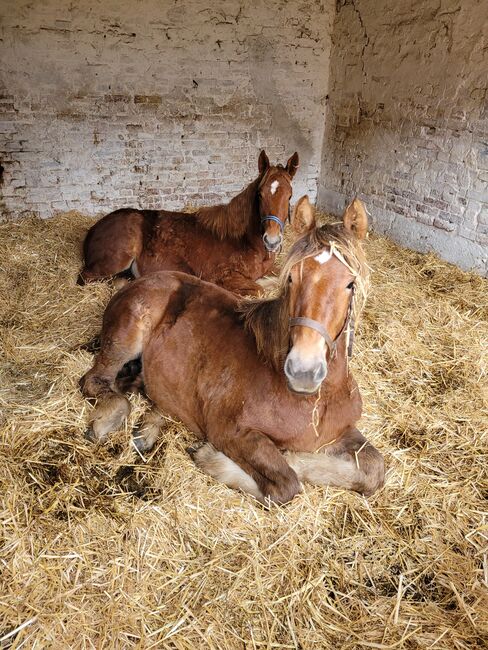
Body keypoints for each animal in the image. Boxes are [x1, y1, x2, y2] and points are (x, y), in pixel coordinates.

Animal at [77, 149, 298, 294]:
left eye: (289, 195)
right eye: (260, 195)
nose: (272, 240)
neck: (245, 241)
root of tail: (94, 229)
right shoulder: (226, 277)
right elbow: (260, 289)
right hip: (113, 262)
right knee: (86, 278)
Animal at [81, 195, 386, 504]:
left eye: (350, 283)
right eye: (290, 278)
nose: (303, 370)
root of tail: (134, 282)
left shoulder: (339, 432)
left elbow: (375, 469)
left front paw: (299, 460)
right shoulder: (230, 432)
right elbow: (285, 485)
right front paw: (211, 457)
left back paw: (147, 429)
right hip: (126, 336)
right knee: (95, 381)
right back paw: (107, 422)